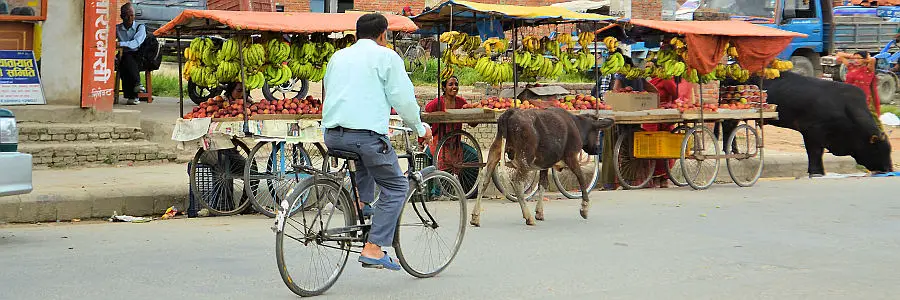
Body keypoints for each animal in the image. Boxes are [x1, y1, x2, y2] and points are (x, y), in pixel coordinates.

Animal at [472, 106, 612, 226]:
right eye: (598, 131)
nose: (597, 149)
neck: (576, 124)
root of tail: (510, 112)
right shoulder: (571, 156)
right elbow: (581, 178)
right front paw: (584, 208)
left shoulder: (545, 164)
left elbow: (542, 184)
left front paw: (539, 212)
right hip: (524, 159)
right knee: (517, 183)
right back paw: (528, 217)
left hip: (495, 150)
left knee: (484, 178)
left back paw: (475, 217)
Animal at [724, 72, 892, 177]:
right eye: (877, 150)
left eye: (888, 151)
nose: (888, 171)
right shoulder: (812, 132)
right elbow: (815, 153)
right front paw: (816, 172)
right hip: (731, 117)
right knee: (728, 131)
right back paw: (731, 152)